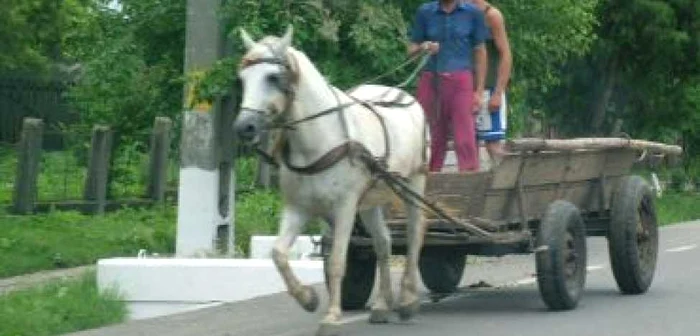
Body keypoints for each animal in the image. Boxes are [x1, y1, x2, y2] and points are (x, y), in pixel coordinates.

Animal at [235, 25, 430, 336]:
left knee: (414, 234)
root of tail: (403, 95)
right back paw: (381, 305)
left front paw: (331, 318)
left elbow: (338, 261)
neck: (319, 140)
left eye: (273, 77)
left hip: (413, 184)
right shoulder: (298, 208)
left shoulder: (345, 207)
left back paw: (408, 299)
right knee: (383, 242)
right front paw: (308, 298)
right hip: (371, 201)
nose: (244, 127)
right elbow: (278, 254)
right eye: (242, 79)